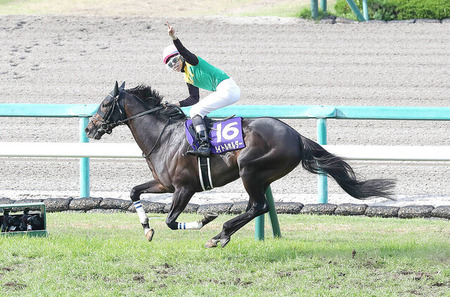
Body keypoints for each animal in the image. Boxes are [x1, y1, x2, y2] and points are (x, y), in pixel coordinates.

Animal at [84, 81, 394, 247]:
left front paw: (206, 219)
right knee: (256, 207)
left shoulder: (184, 188)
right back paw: (223, 234)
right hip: (259, 176)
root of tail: (296, 136)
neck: (164, 136)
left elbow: (171, 221)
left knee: (258, 206)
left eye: (105, 103)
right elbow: (134, 192)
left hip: (250, 170)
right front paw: (147, 228)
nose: (90, 128)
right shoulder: (164, 183)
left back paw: (219, 233)